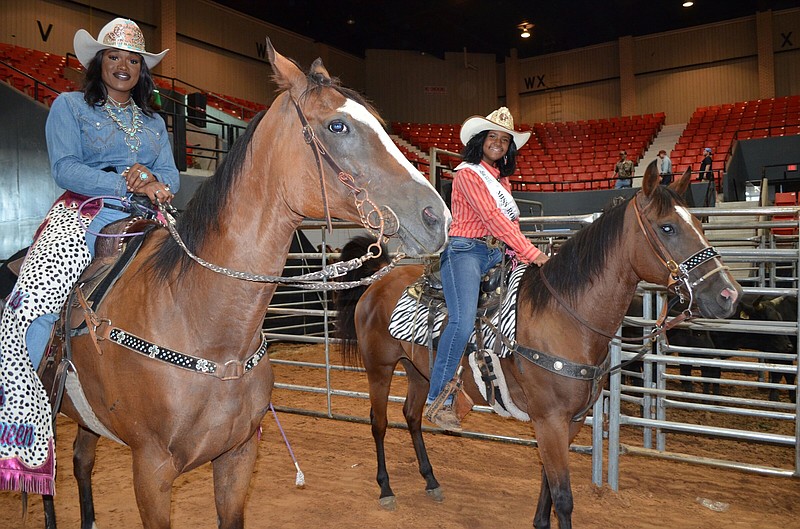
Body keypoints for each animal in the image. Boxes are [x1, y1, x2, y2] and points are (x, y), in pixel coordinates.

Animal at [40, 41, 450, 528]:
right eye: (338, 125)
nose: (437, 216)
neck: (203, 325)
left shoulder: (238, 455)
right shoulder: (150, 471)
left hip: (88, 421)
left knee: (82, 460)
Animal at [332, 162, 744, 528]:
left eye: (699, 223)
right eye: (667, 227)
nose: (729, 295)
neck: (565, 317)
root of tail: (378, 281)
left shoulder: (570, 422)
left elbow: (548, 479)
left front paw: (539, 521)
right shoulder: (549, 421)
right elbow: (563, 496)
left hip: (418, 370)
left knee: (412, 416)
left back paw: (431, 480)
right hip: (379, 369)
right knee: (379, 423)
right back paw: (386, 489)